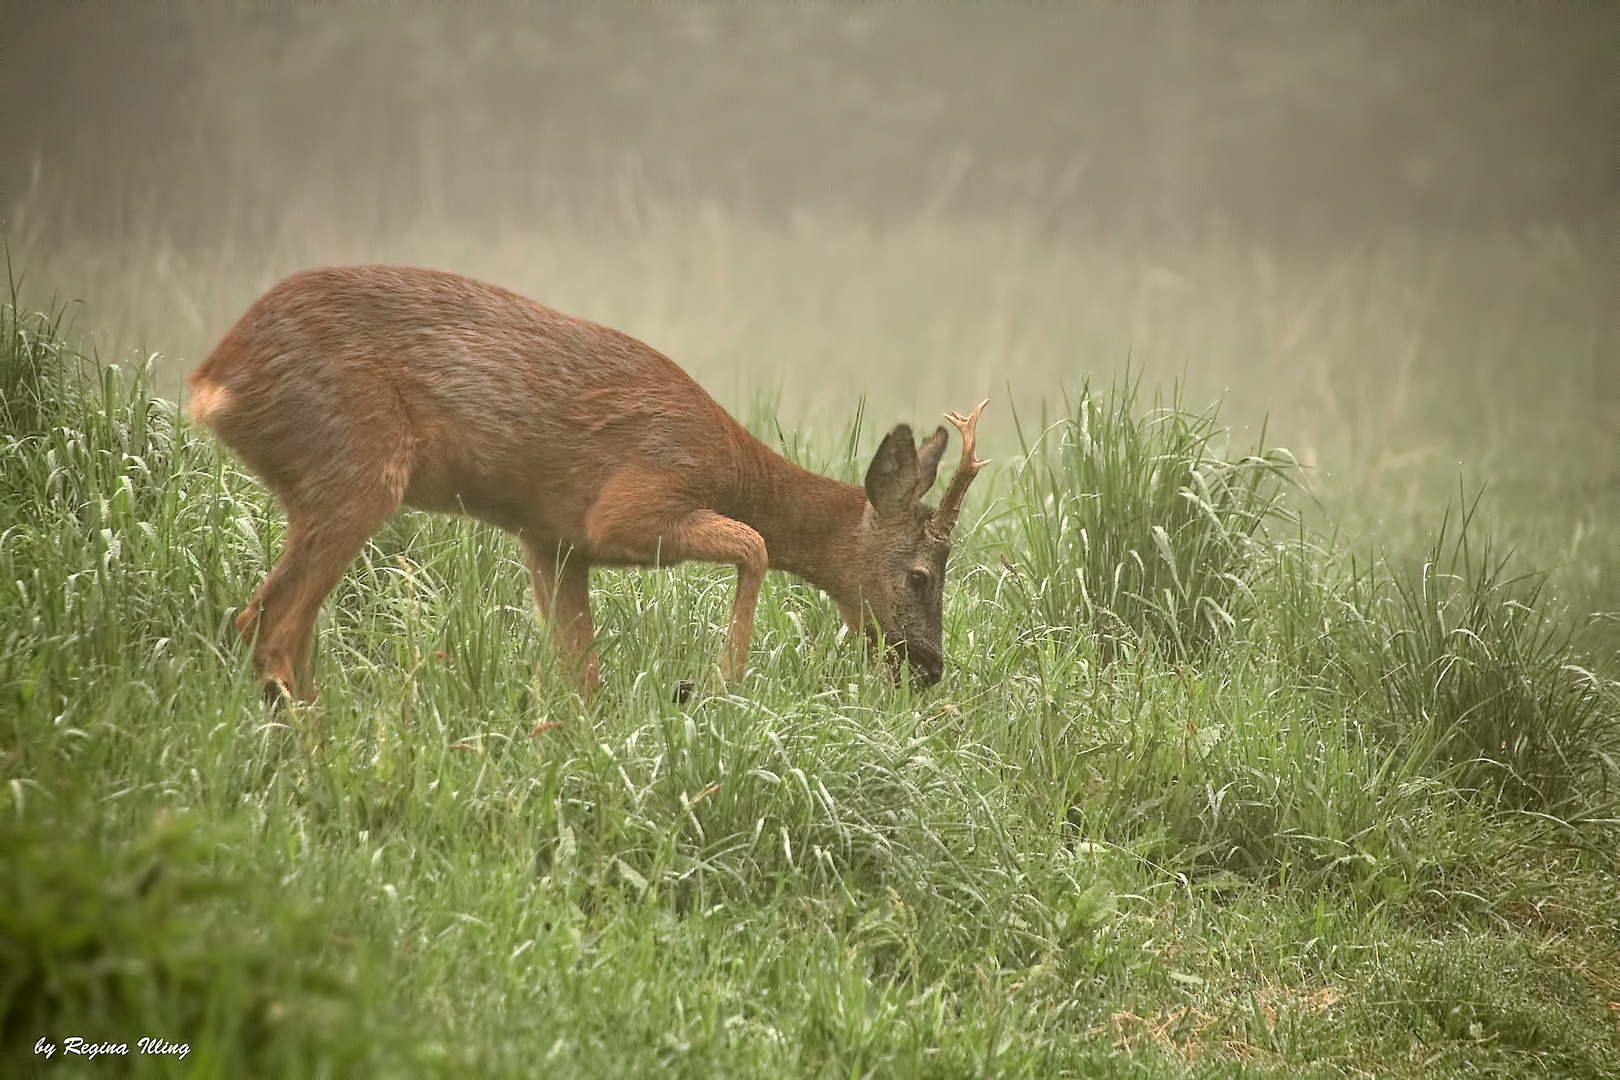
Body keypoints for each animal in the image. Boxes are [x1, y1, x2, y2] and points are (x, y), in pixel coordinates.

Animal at [183, 262, 978, 702]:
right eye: (920, 574)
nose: (931, 665)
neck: (732, 466)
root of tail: (214, 379)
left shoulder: (553, 541)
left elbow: (581, 673)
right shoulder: (635, 502)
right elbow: (754, 543)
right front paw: (718, 684)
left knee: (281, 628)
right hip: (355, 464)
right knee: (269, 626)